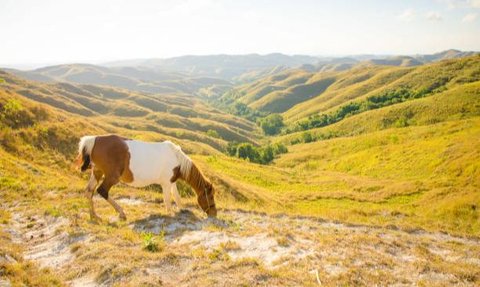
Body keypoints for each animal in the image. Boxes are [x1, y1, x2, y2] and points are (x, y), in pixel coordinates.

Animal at [76, 134, 217, 220]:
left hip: (97, 172)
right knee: (102, 191)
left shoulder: (171, 182)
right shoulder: (166, 184)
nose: (214, 214)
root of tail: (94, 139)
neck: (176, 158)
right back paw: (121, 213)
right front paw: (170, 213)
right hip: (112, 177)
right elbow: (167, 200)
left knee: (89, 192)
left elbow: (177, 197)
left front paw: (181, 210)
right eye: (210, 196)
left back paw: (94, 216)